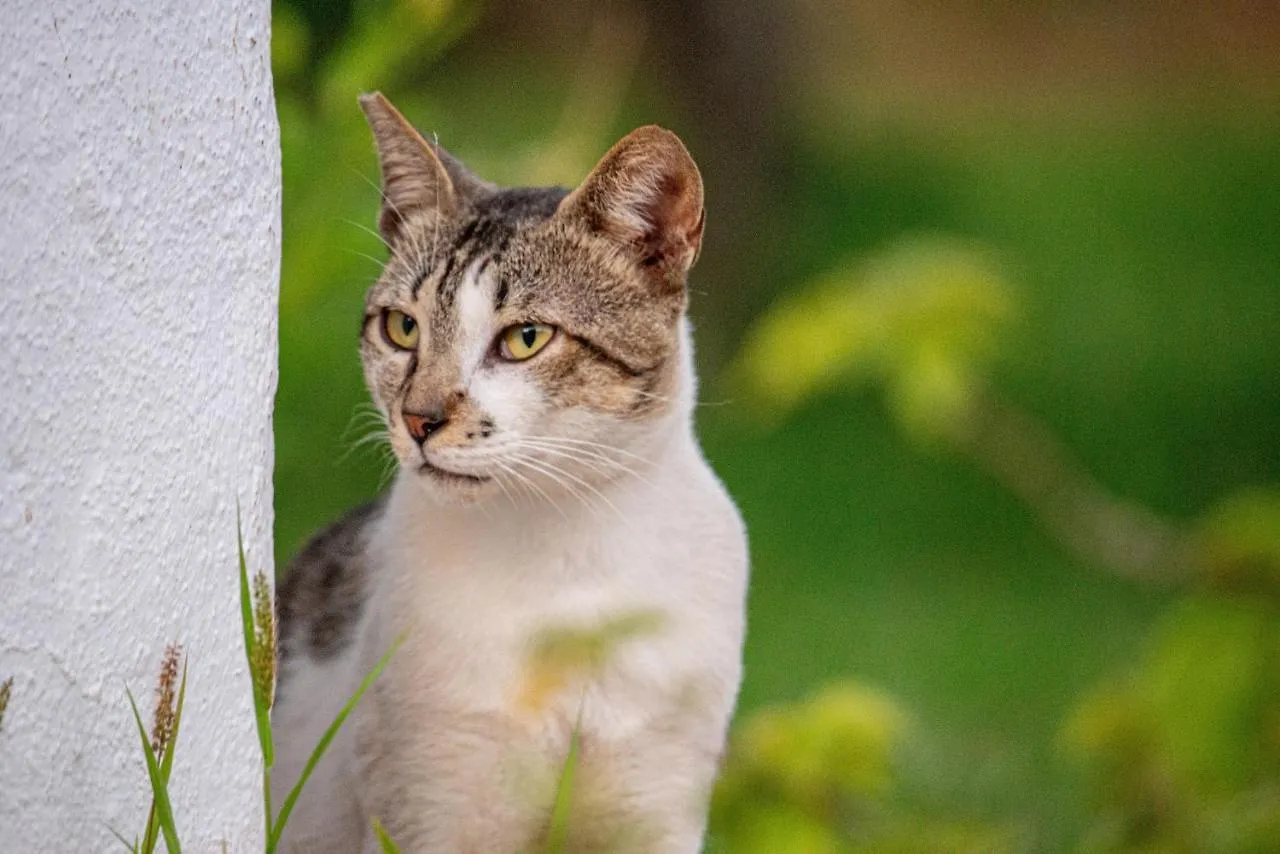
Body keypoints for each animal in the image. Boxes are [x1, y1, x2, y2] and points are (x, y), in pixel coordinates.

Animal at [271, 93, 747, 854]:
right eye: (402, 328)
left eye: (526, 339)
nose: (419, 418)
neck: (566, 552)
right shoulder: (429, 797)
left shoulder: (656, 802)